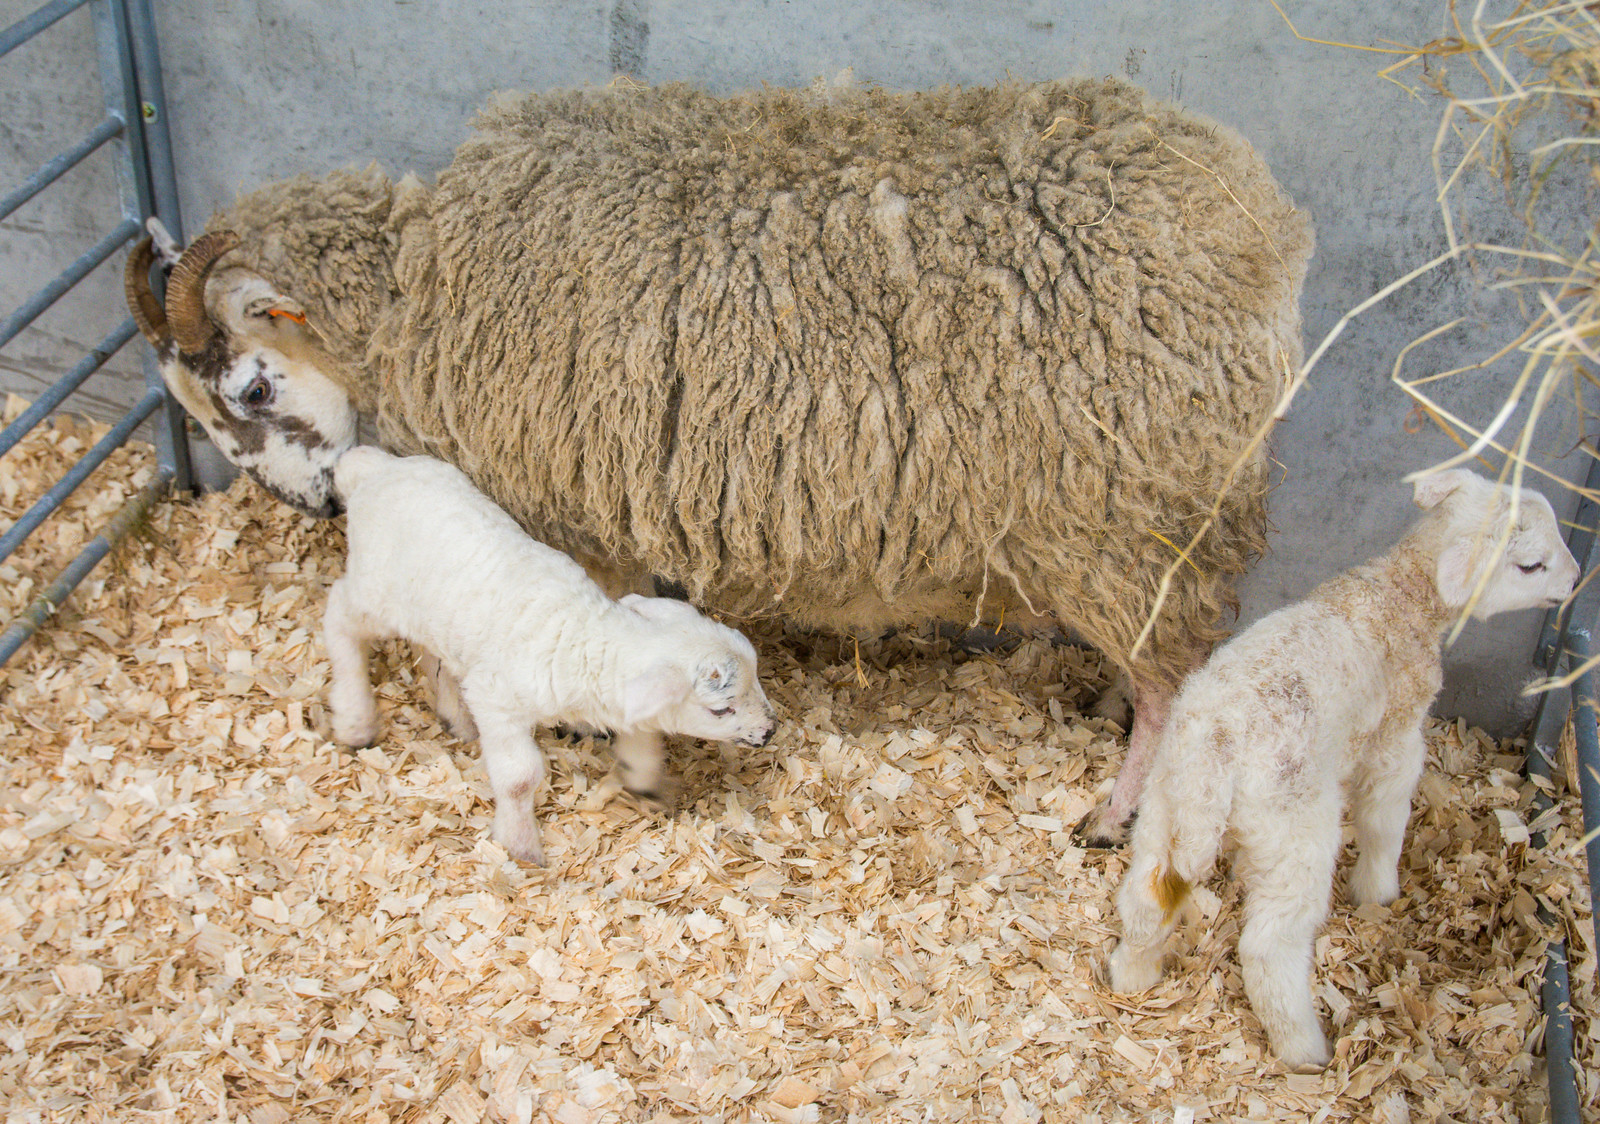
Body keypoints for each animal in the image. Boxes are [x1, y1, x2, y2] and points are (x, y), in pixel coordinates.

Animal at [323, 448, 774, 864]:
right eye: (721, 709)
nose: (771, 731)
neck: (585, 638)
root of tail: (374, 467)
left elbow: (641, 737)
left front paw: (642, 779)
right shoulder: (497, 700)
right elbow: (519, 777)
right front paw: (520, 844)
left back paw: (454, 716)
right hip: (375, 592)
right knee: (339, 615)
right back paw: (355, 720)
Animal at [1107, 470, 1580, 1069]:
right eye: (1530, 565)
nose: (1576, 580)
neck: (1400, 594)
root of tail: (1216, 753)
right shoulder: (1397, 737)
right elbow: (1384, 817)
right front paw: (1379, 891)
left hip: (1164, 806)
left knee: (1148, 898)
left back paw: (1133, 976)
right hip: (1294, 831)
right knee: (1269, 947)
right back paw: (1306, 1049)